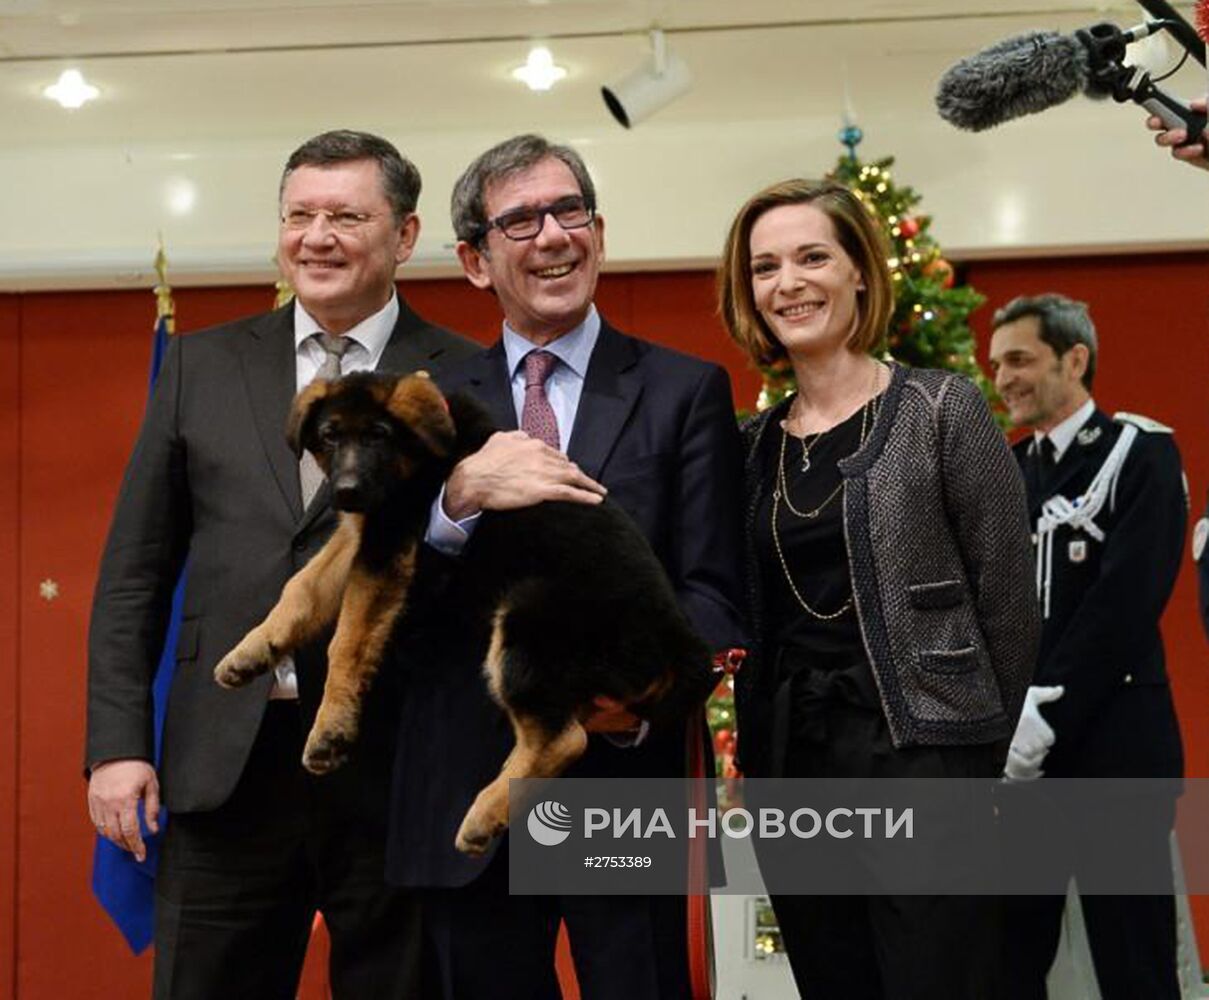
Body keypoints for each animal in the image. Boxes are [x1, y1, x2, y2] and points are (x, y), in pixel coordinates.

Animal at [213, 372, 710, 856]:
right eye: (330, 436)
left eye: (378, 435)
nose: (346, 491)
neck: (418, 456)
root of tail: (679, 642)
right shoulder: (361, 535)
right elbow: (301, 589)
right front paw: (252, 650)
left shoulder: (386, 546)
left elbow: (348, 642)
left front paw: (329, 730)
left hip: (527, 619)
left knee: (564, 739)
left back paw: (484, 815)